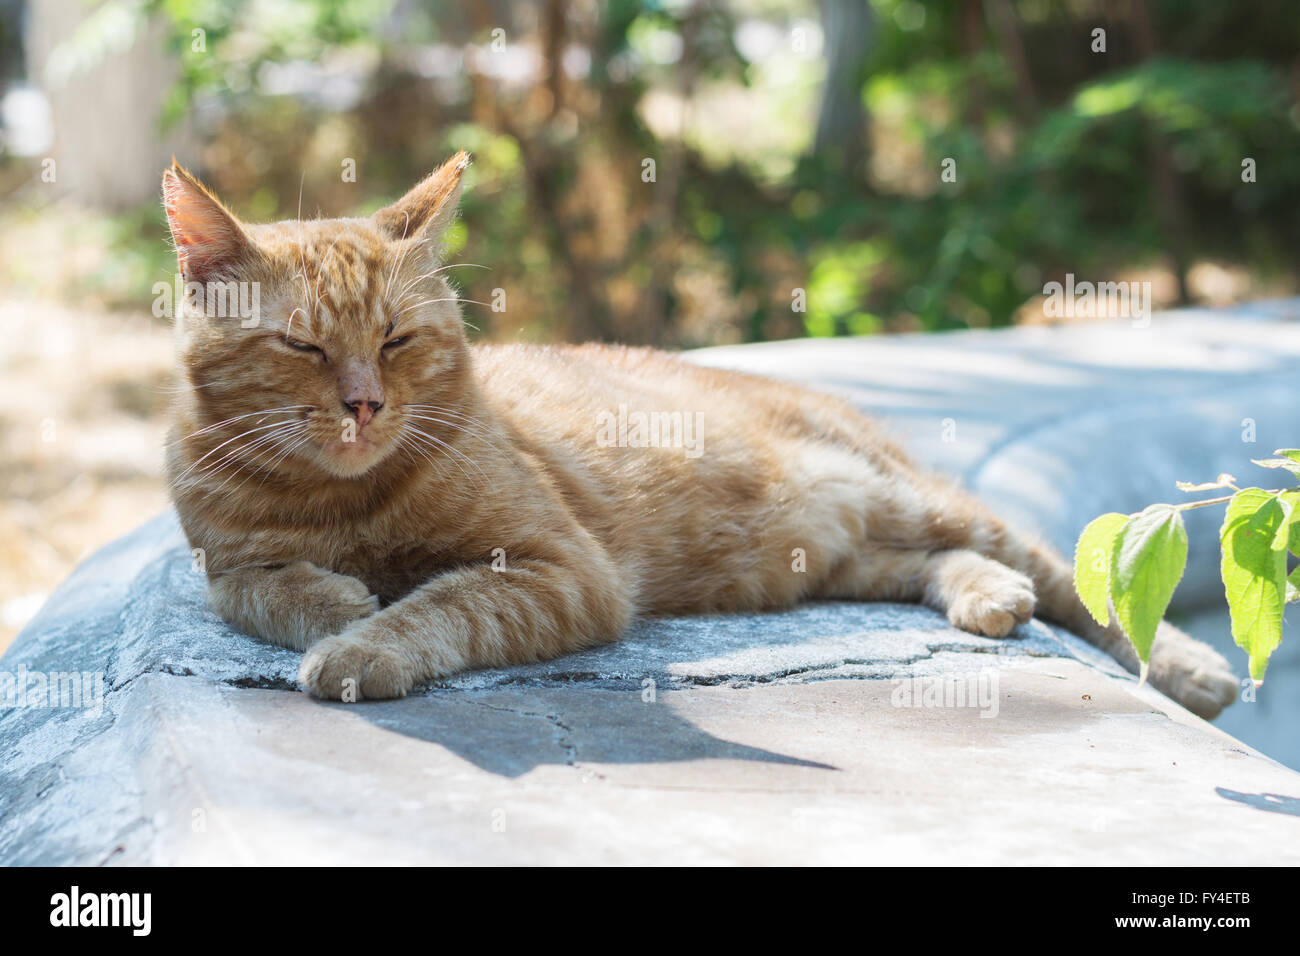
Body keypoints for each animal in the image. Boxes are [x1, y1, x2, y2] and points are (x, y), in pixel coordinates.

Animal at [162, 151, 1237, 717]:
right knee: (941, 565)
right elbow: (252, 589)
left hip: (919, 498)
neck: (340, 501)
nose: (364, 405)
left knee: (1074, 581)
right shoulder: (221, 559)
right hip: (836, 555)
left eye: (395, 340)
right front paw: (331, 602)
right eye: (303, 345)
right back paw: (987, 597)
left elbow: (439, 605)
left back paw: (1192, 669)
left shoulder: (564, 570)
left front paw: (362, 645)